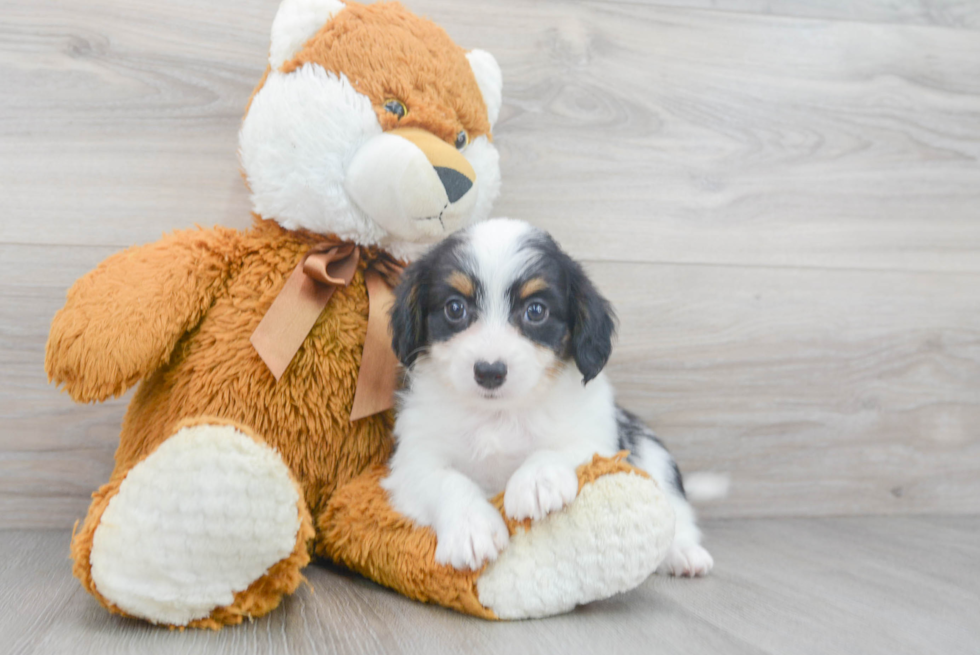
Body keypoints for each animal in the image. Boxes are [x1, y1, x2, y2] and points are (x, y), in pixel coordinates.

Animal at [378, 218, 708, 576]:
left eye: (536, 311)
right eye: (455, 308)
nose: (490, 371)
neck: (499, 416)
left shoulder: (595, 439)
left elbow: (556, 449)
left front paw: (536, 481)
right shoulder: (414, 460)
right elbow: (447, 481)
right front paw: (471, 529)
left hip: (651, 451)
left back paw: (683, 552)